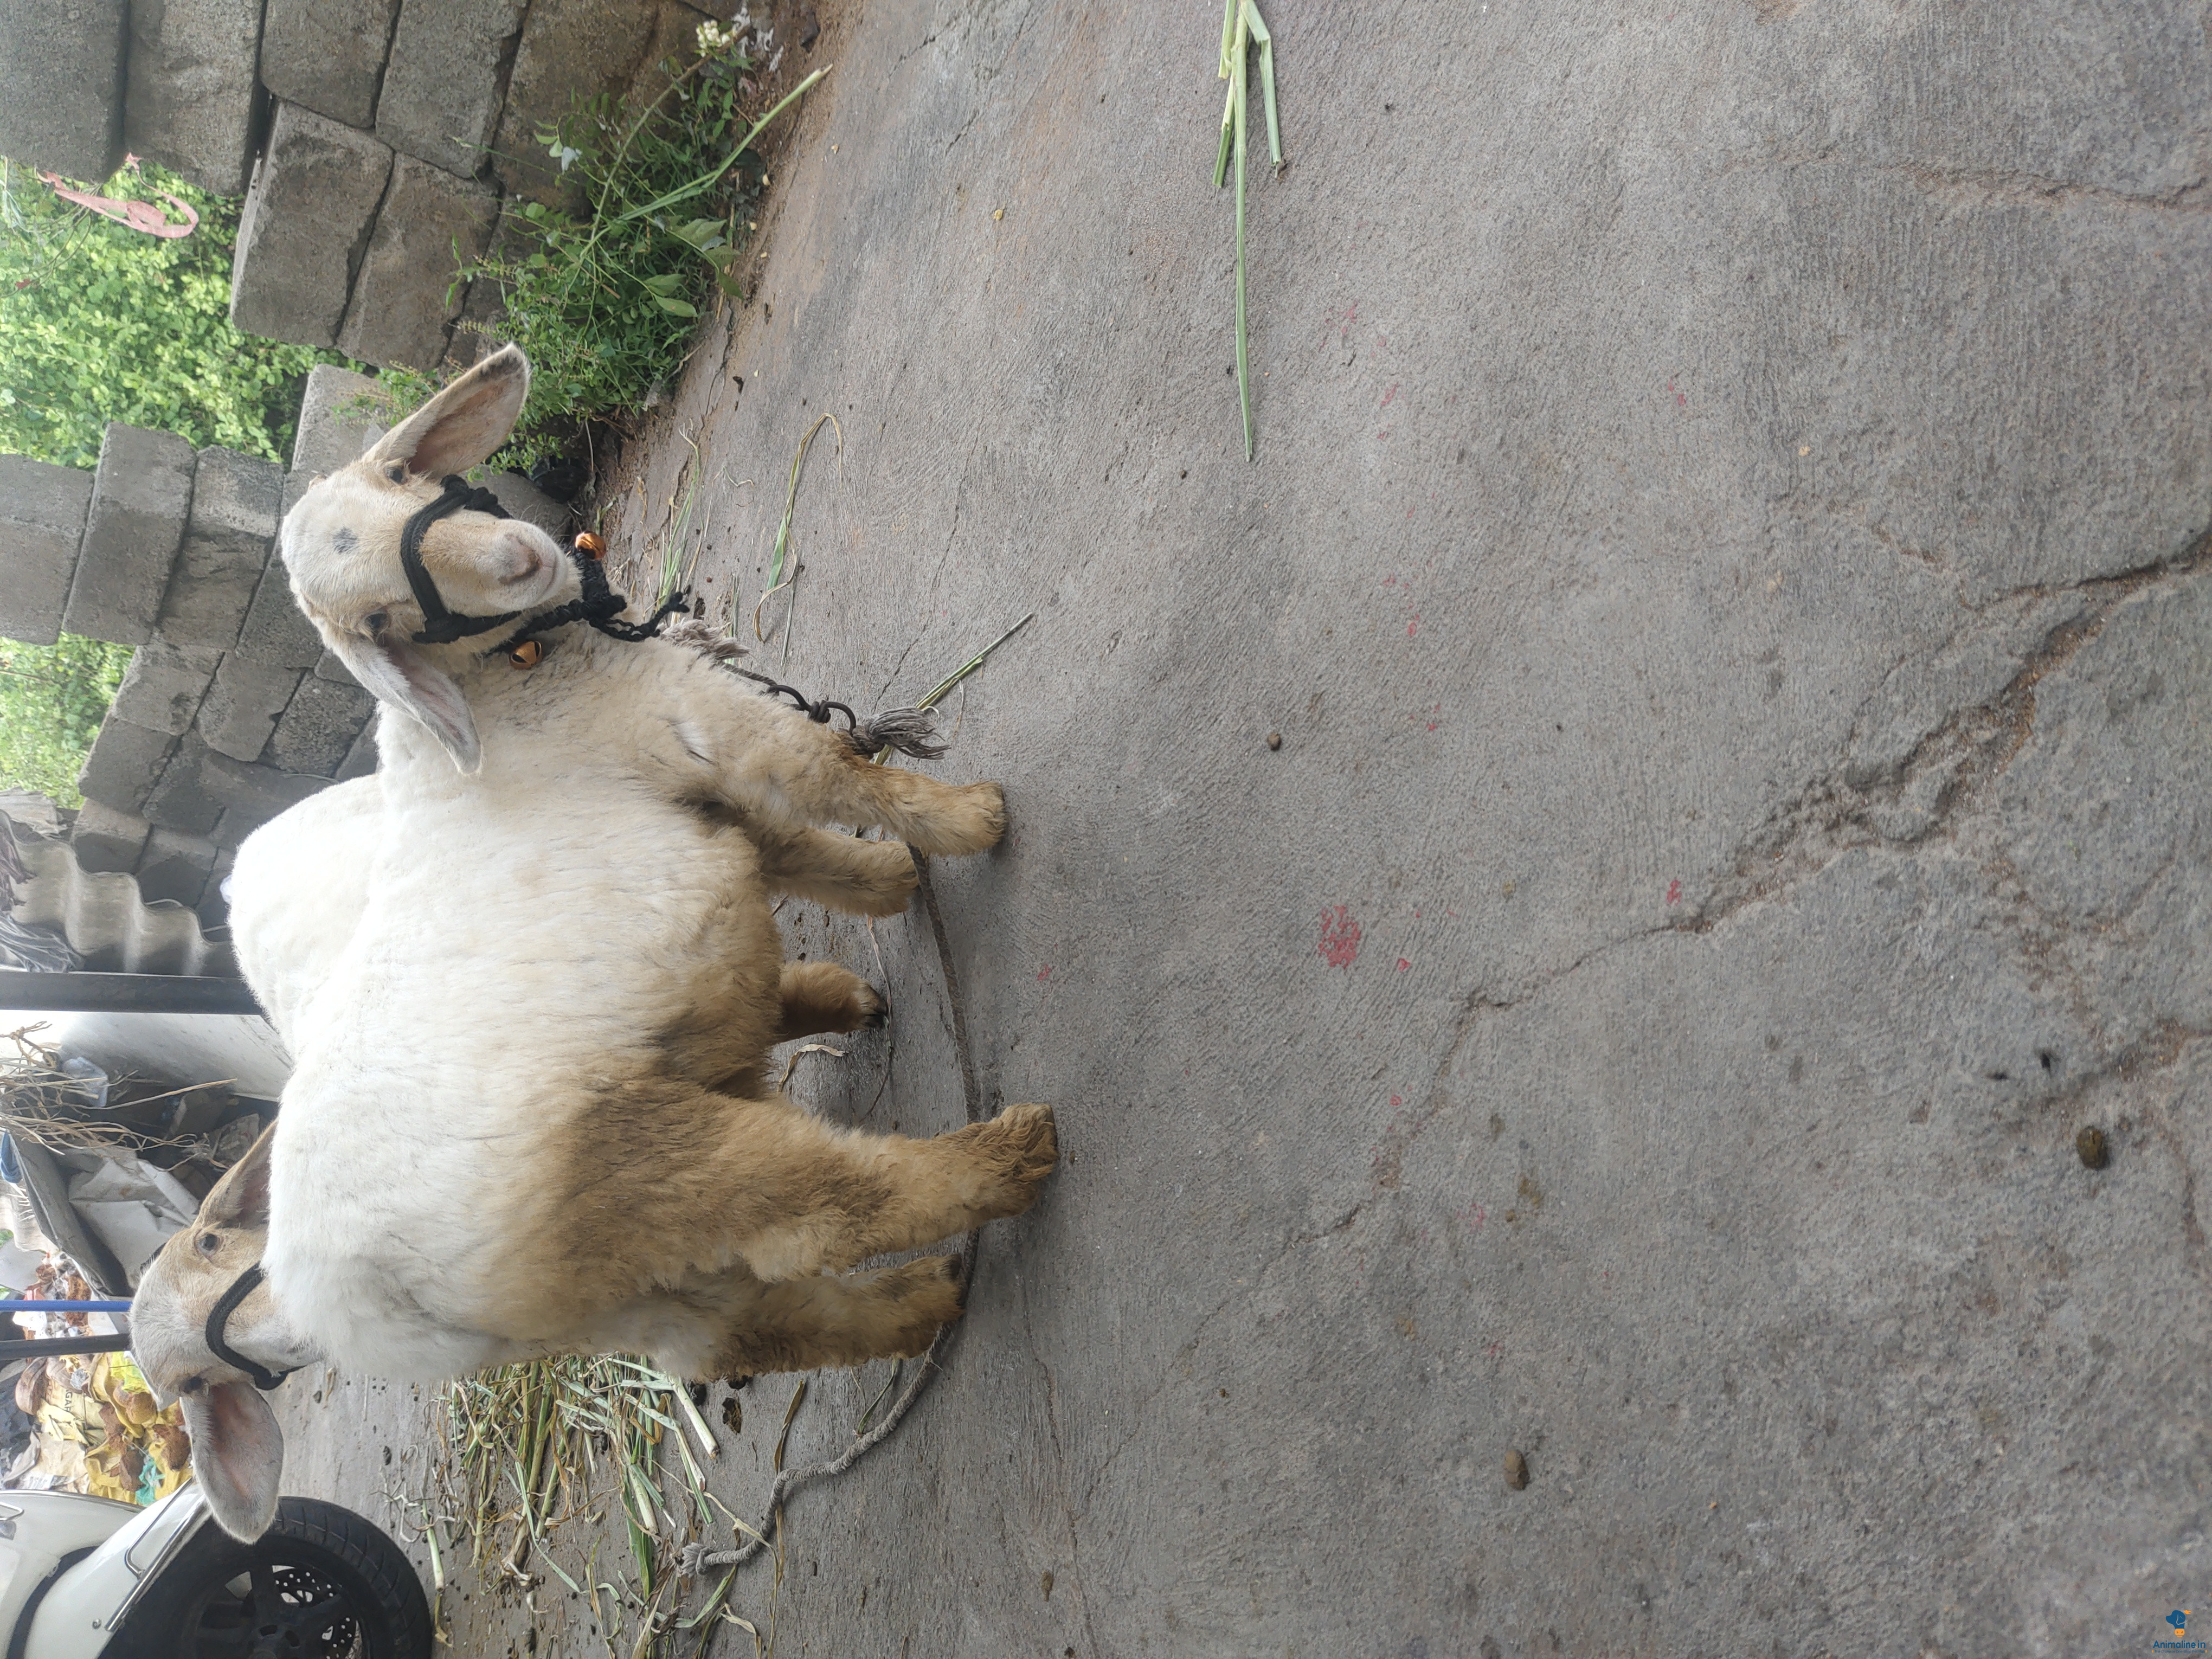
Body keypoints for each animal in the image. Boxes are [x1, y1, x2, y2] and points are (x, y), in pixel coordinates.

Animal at [128, 345, 1058, 1540]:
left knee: (759, 1328)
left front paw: (884, 894)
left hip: (630, 1289)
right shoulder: (707, 727)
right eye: (379, 620)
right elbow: (831, 778)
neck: (518, 678)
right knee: (828, 1206)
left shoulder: (684, 794)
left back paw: (923, 1300)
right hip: (637, 1167)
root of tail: (355, 1300)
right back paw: (1009, 1159)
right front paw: (969, 826)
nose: (518, 558)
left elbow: (791, 852)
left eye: (399, 479)